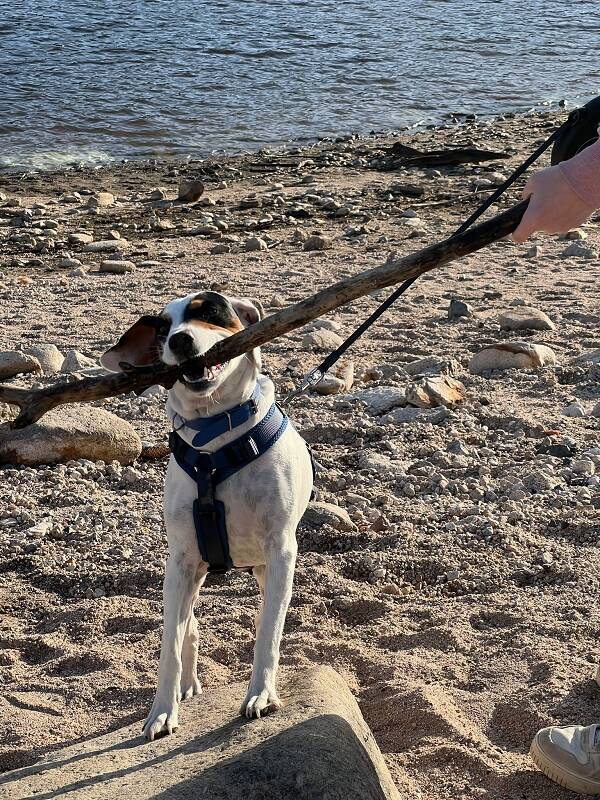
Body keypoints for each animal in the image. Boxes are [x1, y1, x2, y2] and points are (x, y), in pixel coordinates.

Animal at [101, 291, 313, 741]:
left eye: (211, 311)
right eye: (162, 328)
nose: (180, 340)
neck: (214, 435)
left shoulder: (281, 550)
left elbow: (268, 629)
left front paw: (262, 693)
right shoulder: (180, 559)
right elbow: (168, 646)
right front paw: (161, 712)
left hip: (263, 567)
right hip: (189, 571)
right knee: (188, 625)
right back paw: (187, 684)